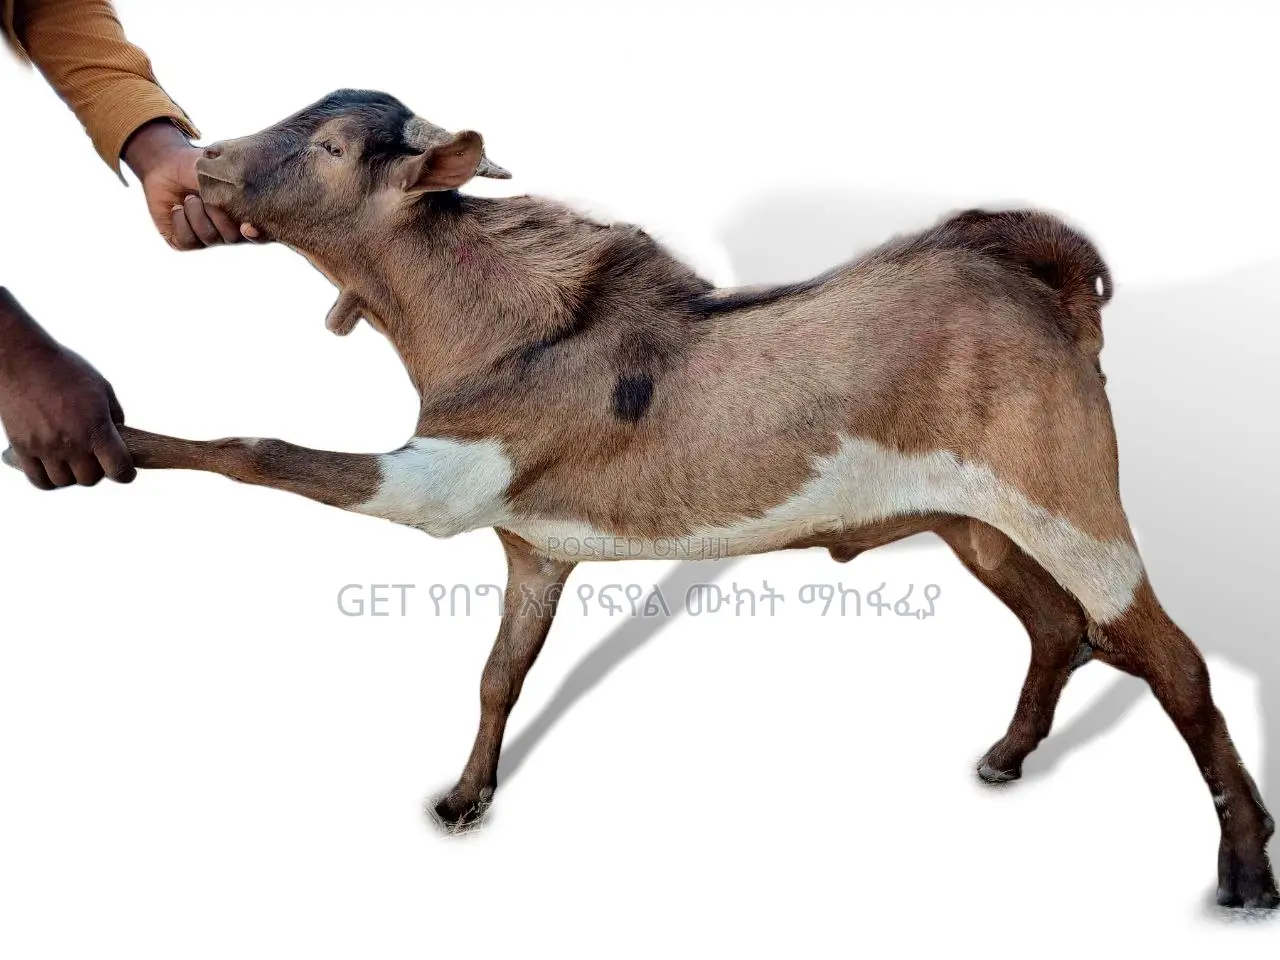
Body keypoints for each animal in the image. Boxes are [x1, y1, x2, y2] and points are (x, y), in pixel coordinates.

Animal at [6, 89, 1273, 908]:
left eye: (326, 143)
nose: (204, 164)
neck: (501, 325)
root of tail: (1043, 283)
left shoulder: (436, 485)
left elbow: (256, 447)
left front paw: (86, 438)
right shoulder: (532, 547)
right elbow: (501, 672)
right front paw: (465, 799)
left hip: (1065, 497)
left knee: (1165, 657)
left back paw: (1243, 866)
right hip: (976, 525)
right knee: (1061, 627)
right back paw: (1008, 760)